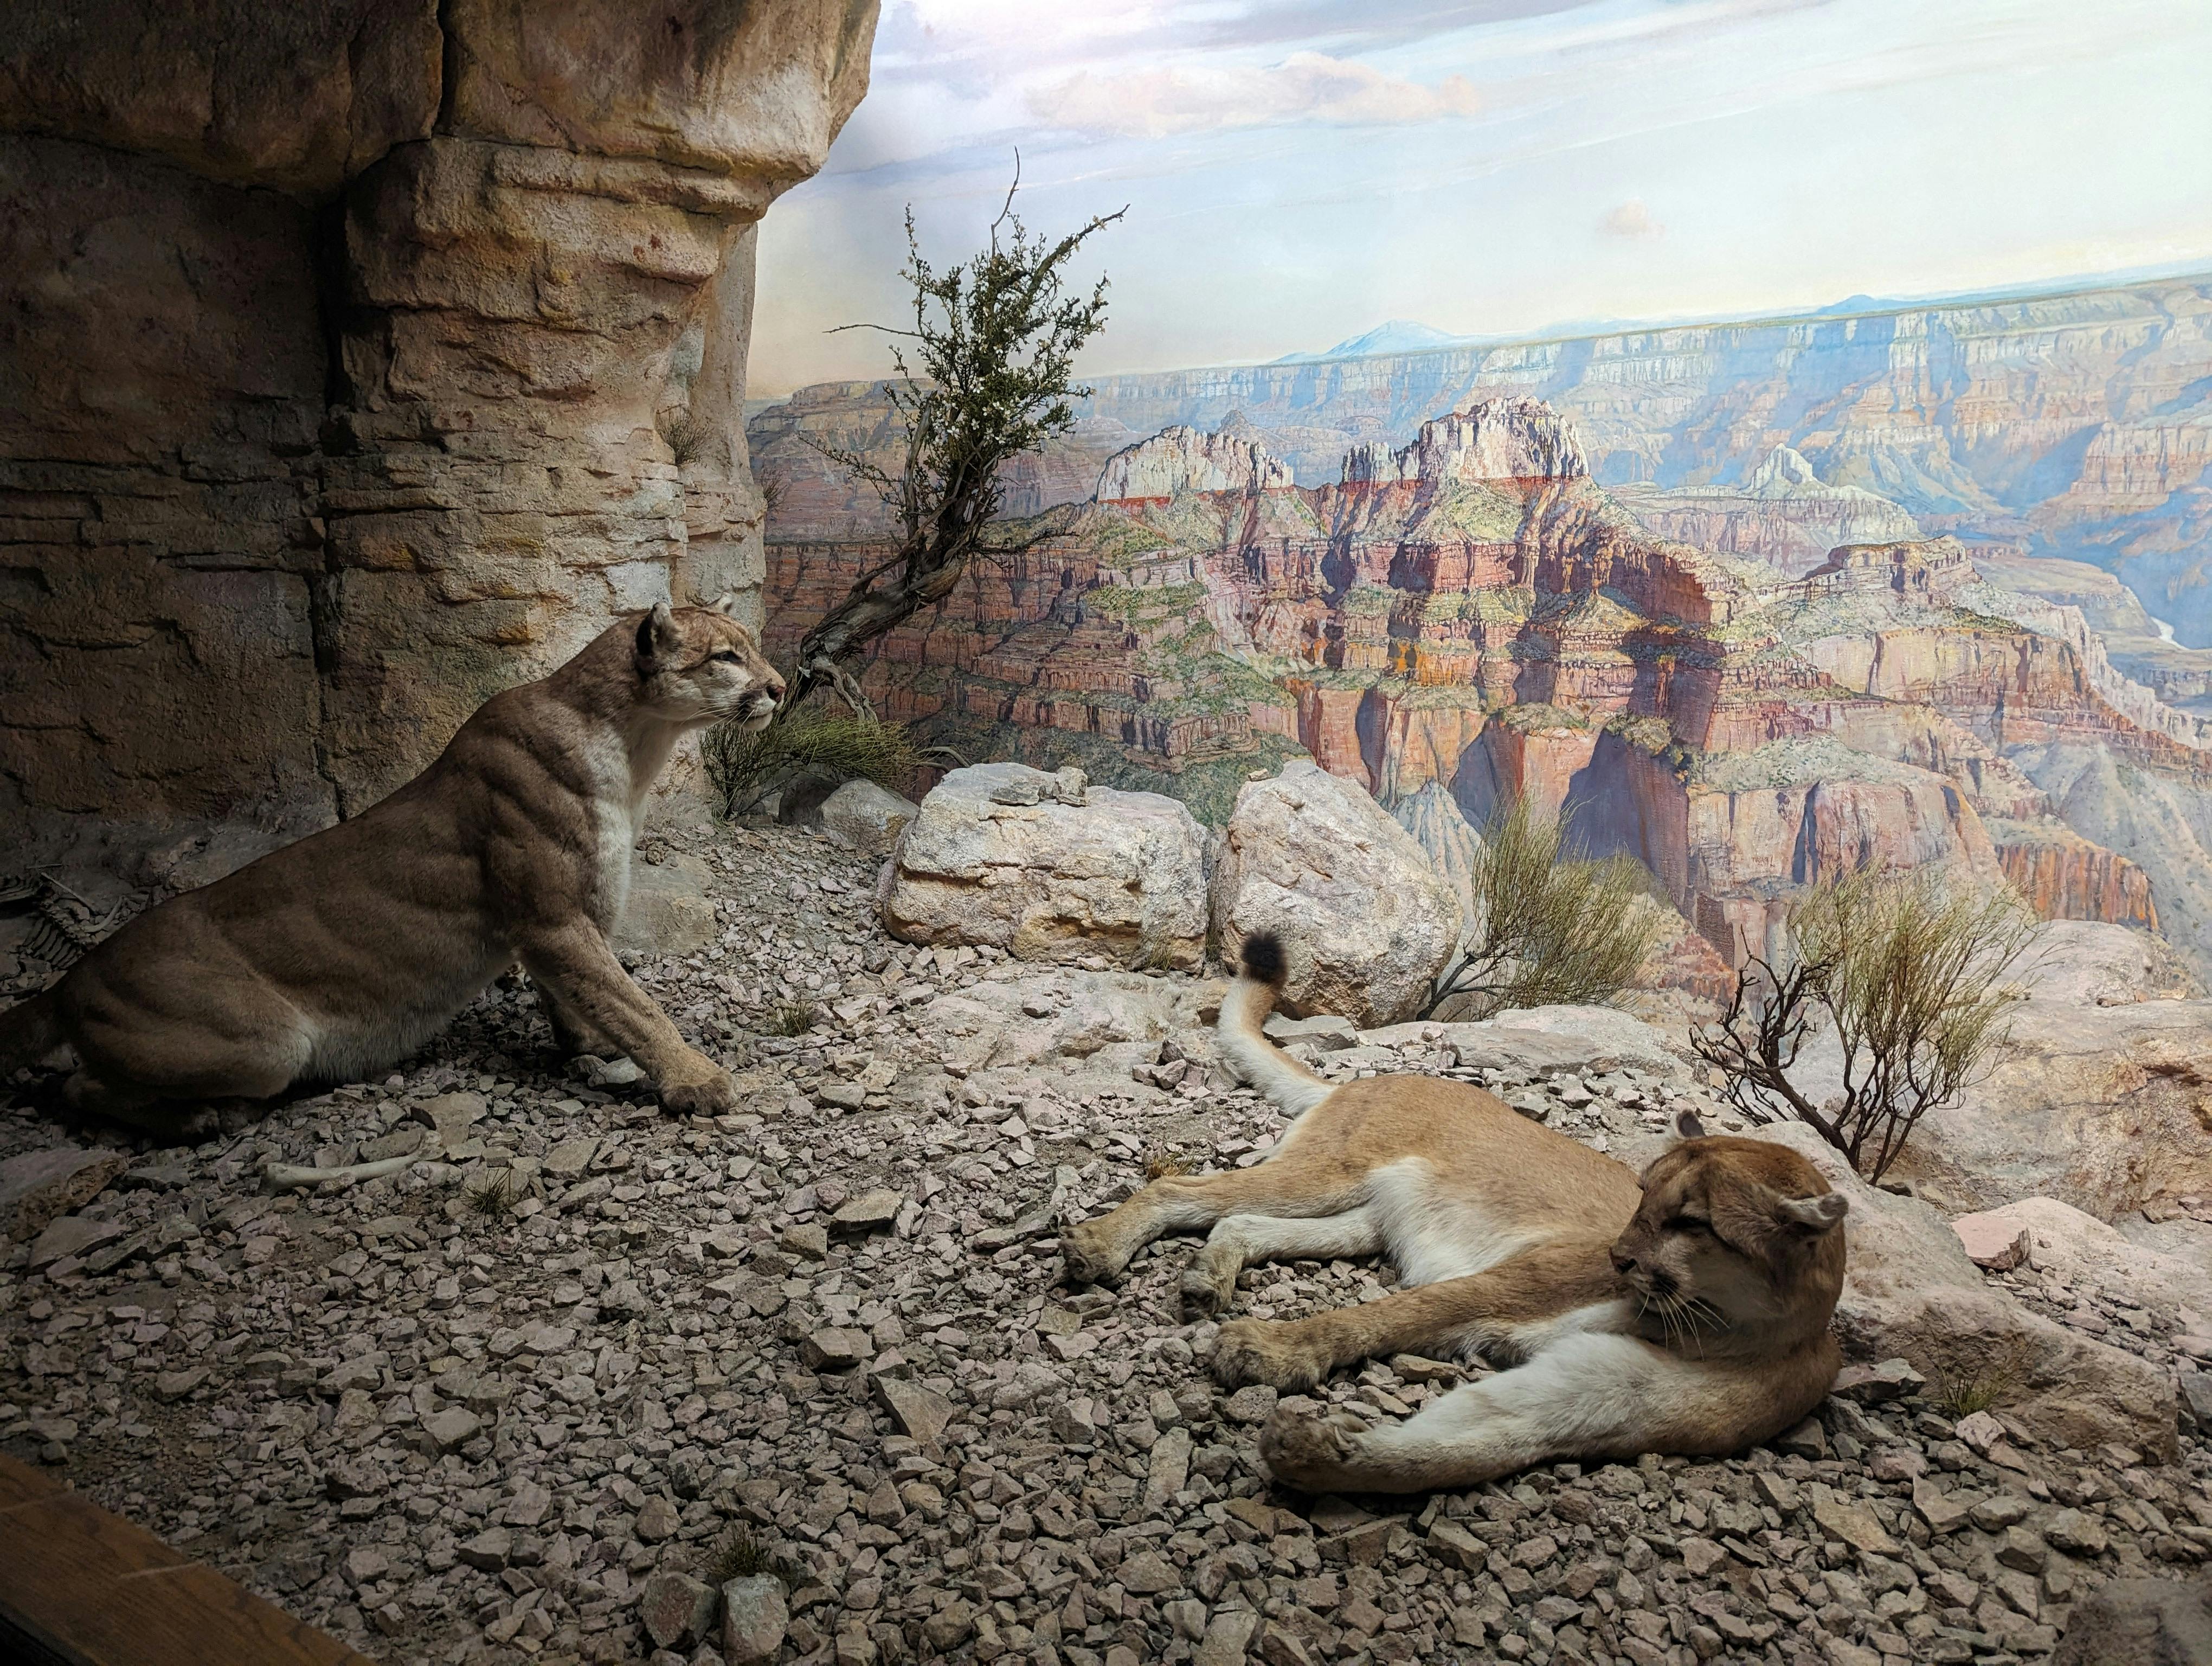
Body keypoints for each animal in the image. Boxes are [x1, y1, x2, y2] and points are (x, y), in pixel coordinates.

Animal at [1, 597, 782, 1127]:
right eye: (726, 657)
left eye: (754, 648)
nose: (779, 686)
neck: (634, 745)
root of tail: (72, 977)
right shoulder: (553, 918)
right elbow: (634, 1003)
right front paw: (698, 1078)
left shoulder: (570, 914)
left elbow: (588, 995)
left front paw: (586, 1043)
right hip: (268, 1043)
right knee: (77, 1086)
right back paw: (199, 1117)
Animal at [1061, 932, 1848, 1493]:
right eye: (1643, 1195)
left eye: (1691, 1222)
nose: (1619, 1257)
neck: (1718, 1326)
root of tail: (1368, 1076)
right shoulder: (1512, 1285)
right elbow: (1384, 1317)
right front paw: (1272, 1354)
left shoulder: (1603, 1390)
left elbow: (1475, 1442)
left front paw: (1317, 1453)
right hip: (1326, 1177)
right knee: (1180, 1192)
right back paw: (1098, 1249)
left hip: (1361, 1217)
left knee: (1239, 1223)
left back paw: (1207, 1280)